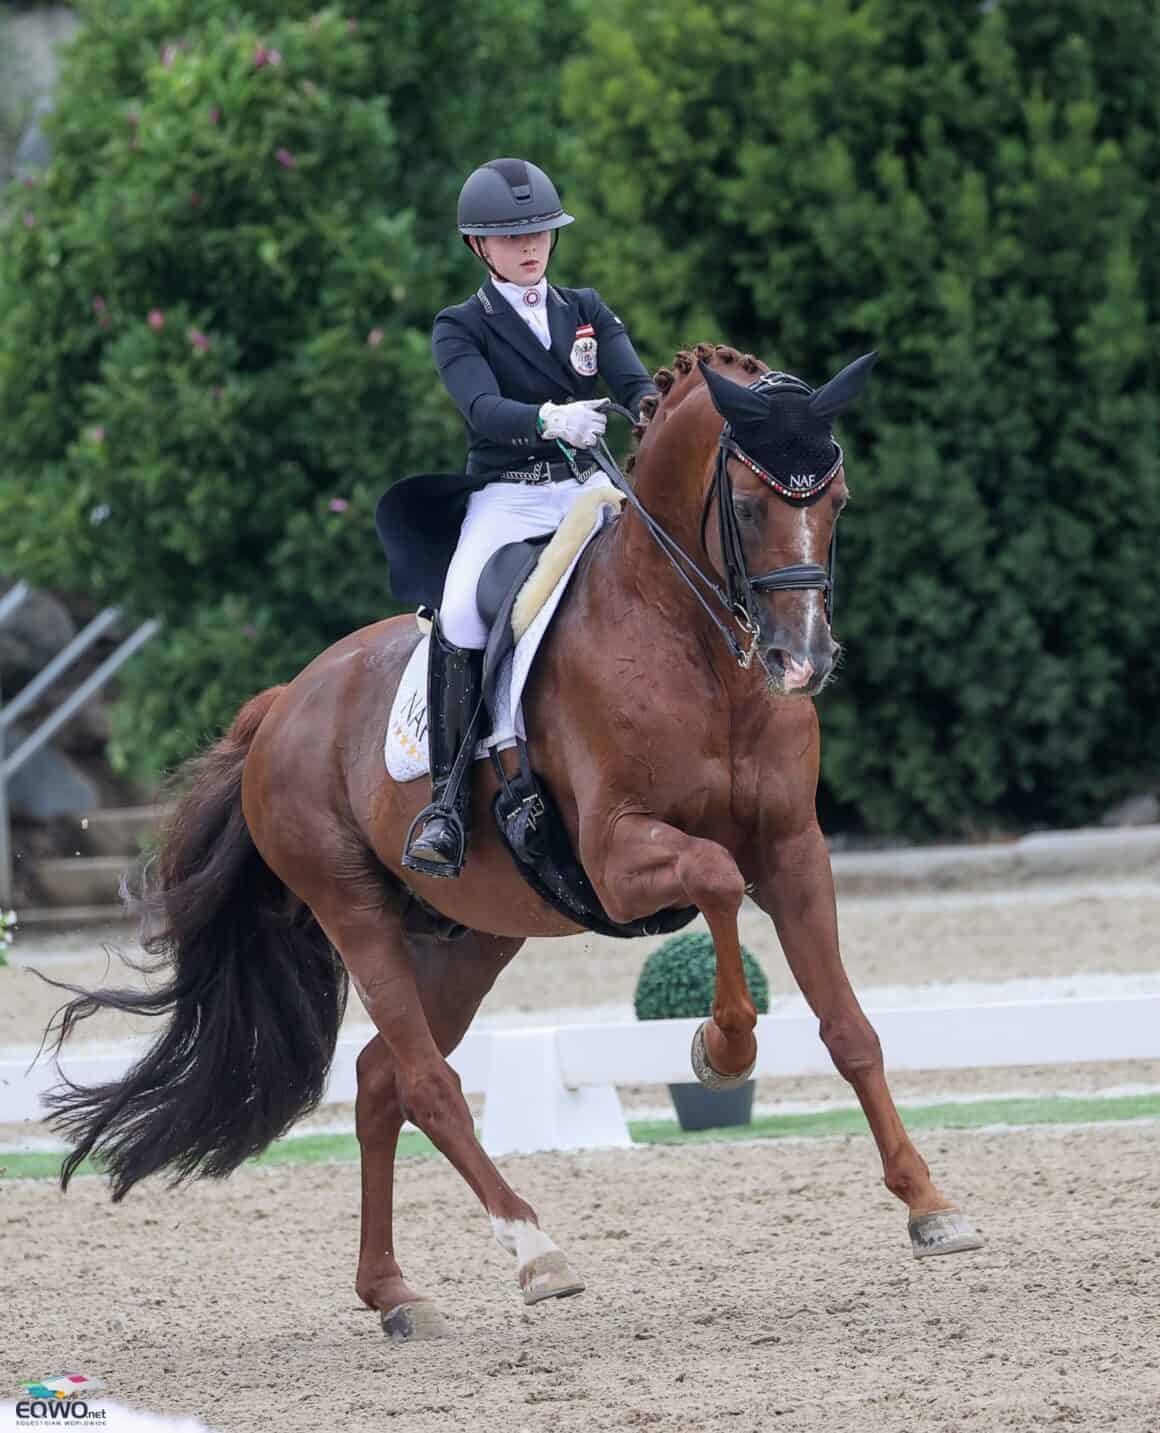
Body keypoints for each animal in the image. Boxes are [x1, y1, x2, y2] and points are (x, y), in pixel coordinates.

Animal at [43, 338, 975, 1341]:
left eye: (836, 501)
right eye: (752, 503)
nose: (799, 664)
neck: (694, 643)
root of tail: (283, 702)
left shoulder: (794, 849)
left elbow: (850, 1026)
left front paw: (930, 1205)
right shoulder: (616, 857)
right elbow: (718, 878)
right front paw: (720, 1050)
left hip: (470, 938)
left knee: (380, 1080)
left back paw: (396, 1293)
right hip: (353, 908)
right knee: (426, 1083)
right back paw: (535, 1250)